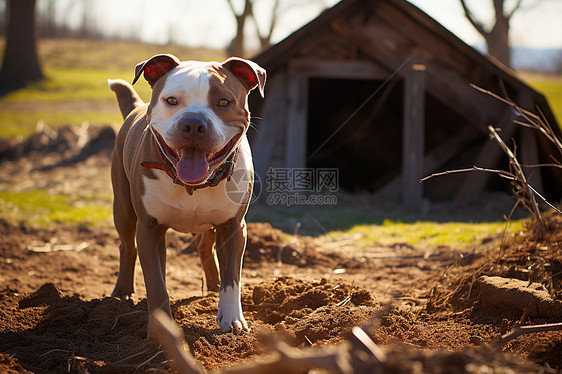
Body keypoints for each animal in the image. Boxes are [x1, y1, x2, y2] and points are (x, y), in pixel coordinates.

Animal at [109, 54, 264, 334]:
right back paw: (123, 292)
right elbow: (157, 285)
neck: (193, 185)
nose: (193, 124)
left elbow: (232, 278)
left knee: (204, 247)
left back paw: (212, 287)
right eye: (172, 100)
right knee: (127, 246)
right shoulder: (149, 228)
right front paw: (160, 334)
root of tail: (137, 107)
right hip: (123, 210)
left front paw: (232, 319)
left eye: (223, 102)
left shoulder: (234, 227)